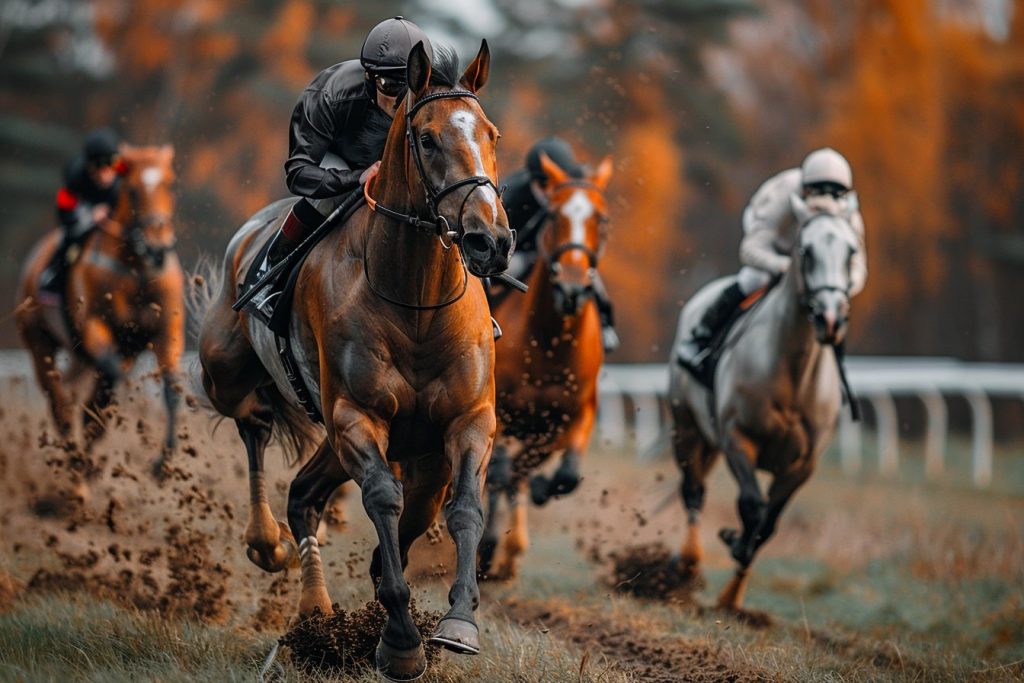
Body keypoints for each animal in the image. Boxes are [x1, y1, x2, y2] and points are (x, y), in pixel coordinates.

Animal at [16, 145, 184, 477]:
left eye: (169, 185)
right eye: (132, 190)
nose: (158, 248)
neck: (137, 269)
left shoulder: (165, 332)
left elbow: (171, 390)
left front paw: (163, 462)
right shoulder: (94, 325)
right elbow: (108, 381)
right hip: (38, 341)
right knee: (60, 404)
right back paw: (74, 458)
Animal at [195, 42, 511, 681]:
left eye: (491, 134)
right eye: (427, 139)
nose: (491, 240)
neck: (415, 301)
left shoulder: (465, 423)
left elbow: (461, 510)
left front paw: (457, 623)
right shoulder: (355, 417)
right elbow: (385, 500)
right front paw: (400, 641)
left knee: (306, 497)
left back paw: (317, 611)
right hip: (227, 371)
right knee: (254, 424)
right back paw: (272, 552)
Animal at [479, 152, 613, 580]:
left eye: (601, 219)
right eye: (554, 214)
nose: (571, 287)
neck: (551, 347)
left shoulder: (576, 414)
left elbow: (564, 474)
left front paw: (539, 488)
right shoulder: (500, 412)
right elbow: (500, 470)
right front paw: (487, 548)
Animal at [667, 194, 860, 611]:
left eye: (851, 251)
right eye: (806, 250)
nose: (829, 318)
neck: (793, 372)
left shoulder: (802, 466)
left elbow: (768, 524)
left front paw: (733, 593)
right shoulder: (738, 439)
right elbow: (752, 506)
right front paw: (732, 542)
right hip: (687, 426)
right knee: (693, 491)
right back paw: (687, 562)